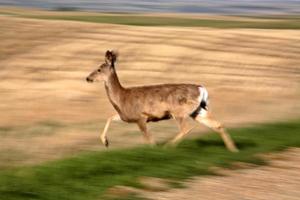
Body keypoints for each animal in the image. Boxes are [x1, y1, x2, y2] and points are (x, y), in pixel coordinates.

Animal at [86, 50, 239, 152]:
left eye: (99, 69)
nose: (87, 78)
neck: (121, 97)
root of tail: (201, 88)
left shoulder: (141, 117)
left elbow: (148, 138)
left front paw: (154, 149)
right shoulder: (127, 117)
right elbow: (110, 117)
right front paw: (105, 142)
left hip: (179, 111)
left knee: (186, 128)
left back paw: (167, 147)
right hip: (198, 110)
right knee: (218, 124)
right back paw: (233, 149)